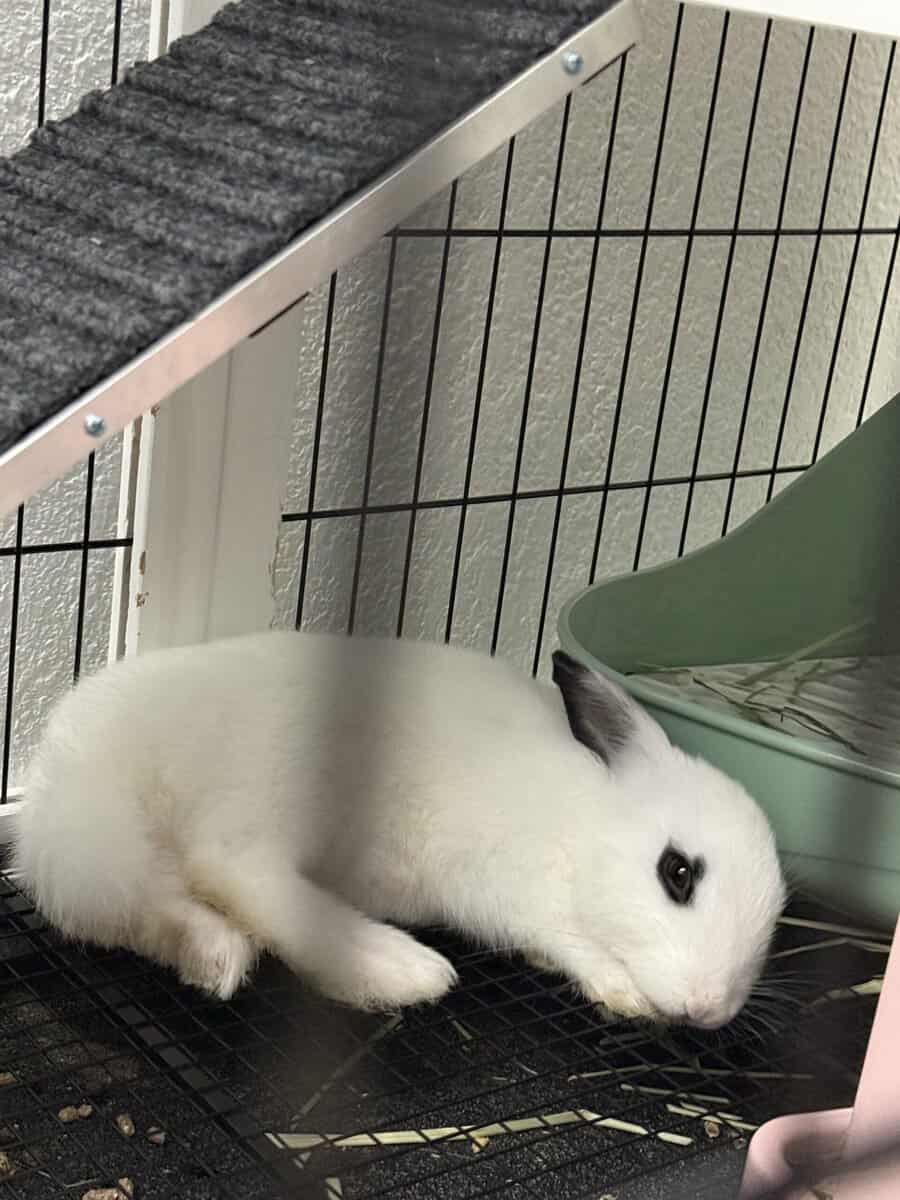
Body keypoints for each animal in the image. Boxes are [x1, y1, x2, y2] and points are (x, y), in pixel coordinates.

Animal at [12, 631, 785, 1029]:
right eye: (678, 872)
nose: (708, 1010)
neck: (588, 824)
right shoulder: (508, 887)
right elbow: (567, 941)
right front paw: (619, 990)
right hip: (278, 791)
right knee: (233, 865)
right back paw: (396, 967)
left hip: (119, 863)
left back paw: (213, 956)